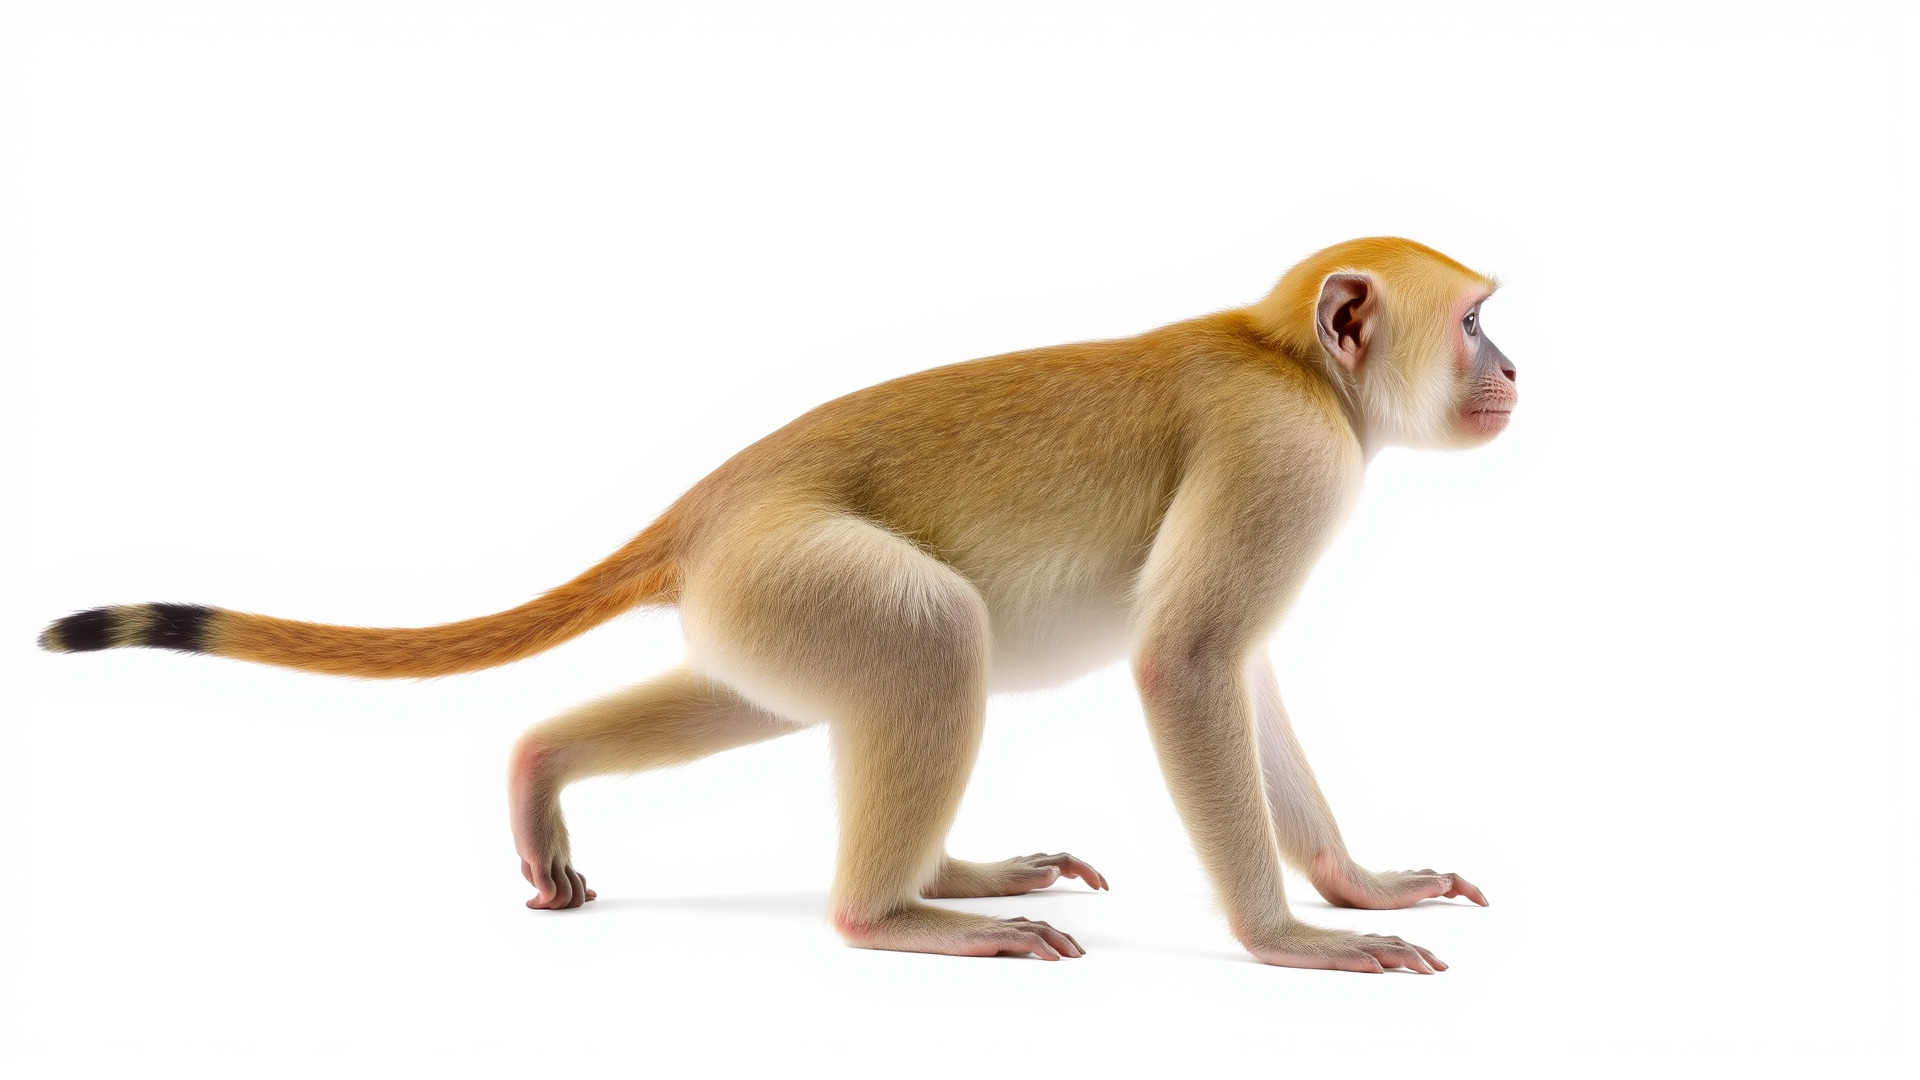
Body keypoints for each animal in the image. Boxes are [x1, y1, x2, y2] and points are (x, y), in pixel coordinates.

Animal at [41, 236, 1515, 973]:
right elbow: (1190, 662)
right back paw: (892, 914)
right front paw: (1288, 939)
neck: (1288, 358)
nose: (1514, 365)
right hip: (786, 560)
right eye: (1474, 322)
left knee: (783, 688)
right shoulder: (1286, 450)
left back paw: (549, 767)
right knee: (932, 638)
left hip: (751, 592)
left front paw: (1352, 881)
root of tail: (715, 500)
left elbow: (1239, 671)